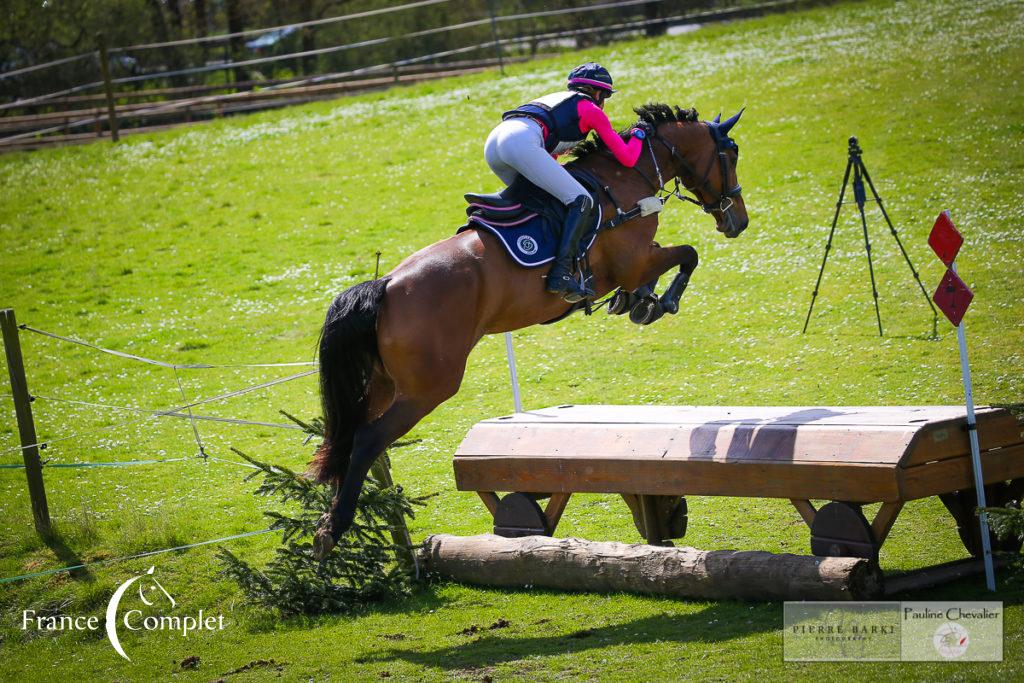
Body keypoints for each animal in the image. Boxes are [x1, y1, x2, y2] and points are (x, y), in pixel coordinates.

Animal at [307, 102, 749, 561]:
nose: (738, 220)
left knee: (345, 436)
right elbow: (688, 255)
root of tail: (387, 284)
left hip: (383, 384)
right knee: (367, 439)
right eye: (731, 153)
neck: (625, 180)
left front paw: (639, 302)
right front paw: (661, 303)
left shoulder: (636, 263)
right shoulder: (635, 260)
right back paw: (334, 529)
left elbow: (658, 272)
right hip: (427, 388)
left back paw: (325, 523)